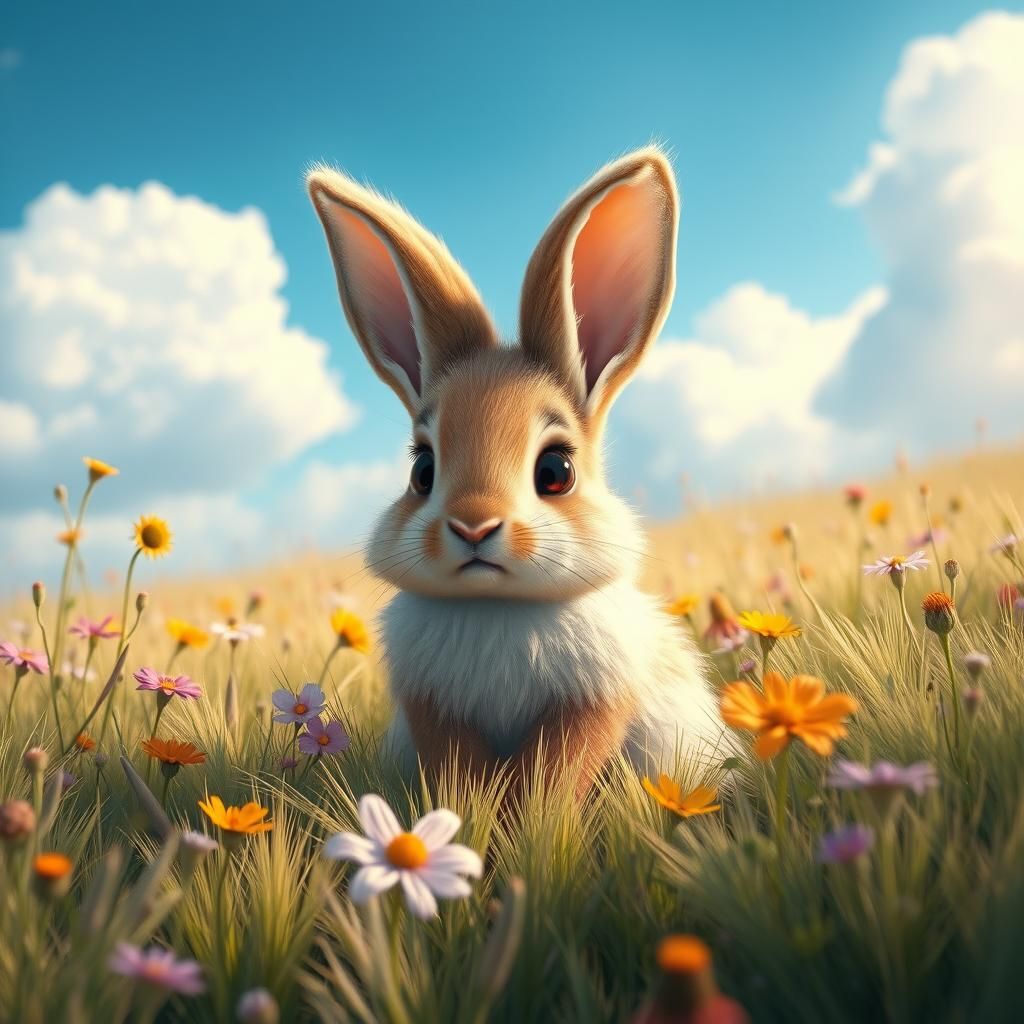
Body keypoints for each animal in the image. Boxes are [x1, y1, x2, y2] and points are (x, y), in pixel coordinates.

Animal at [307, 146, 726, 795]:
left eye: (556, 470)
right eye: (422, 470)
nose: (474, 527)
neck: (497, 607)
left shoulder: (592, 702)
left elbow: (554, 772)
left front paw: (531, 816)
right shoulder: (435, 708)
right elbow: (464, 769)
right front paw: (476, 814)